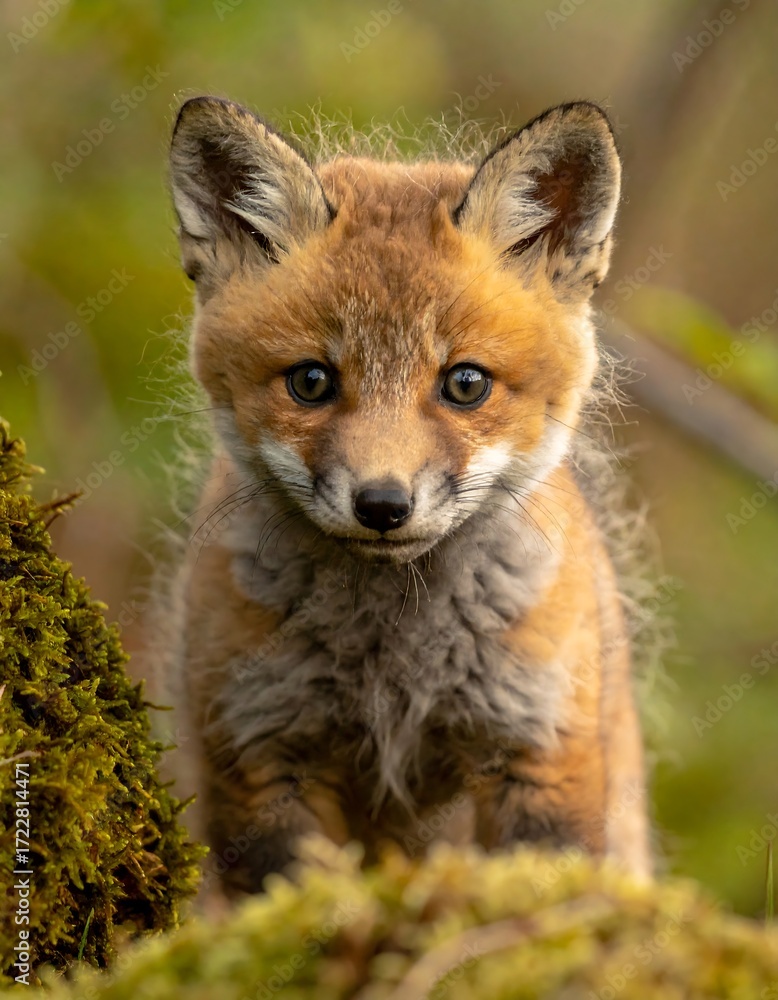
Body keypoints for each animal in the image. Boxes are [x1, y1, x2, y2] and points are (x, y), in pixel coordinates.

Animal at [163, 95, 652, 896]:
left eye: (466, 383)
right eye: (311, 381)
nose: (383, 506)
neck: (393, 665)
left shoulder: (541, 752)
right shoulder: (261, 758)